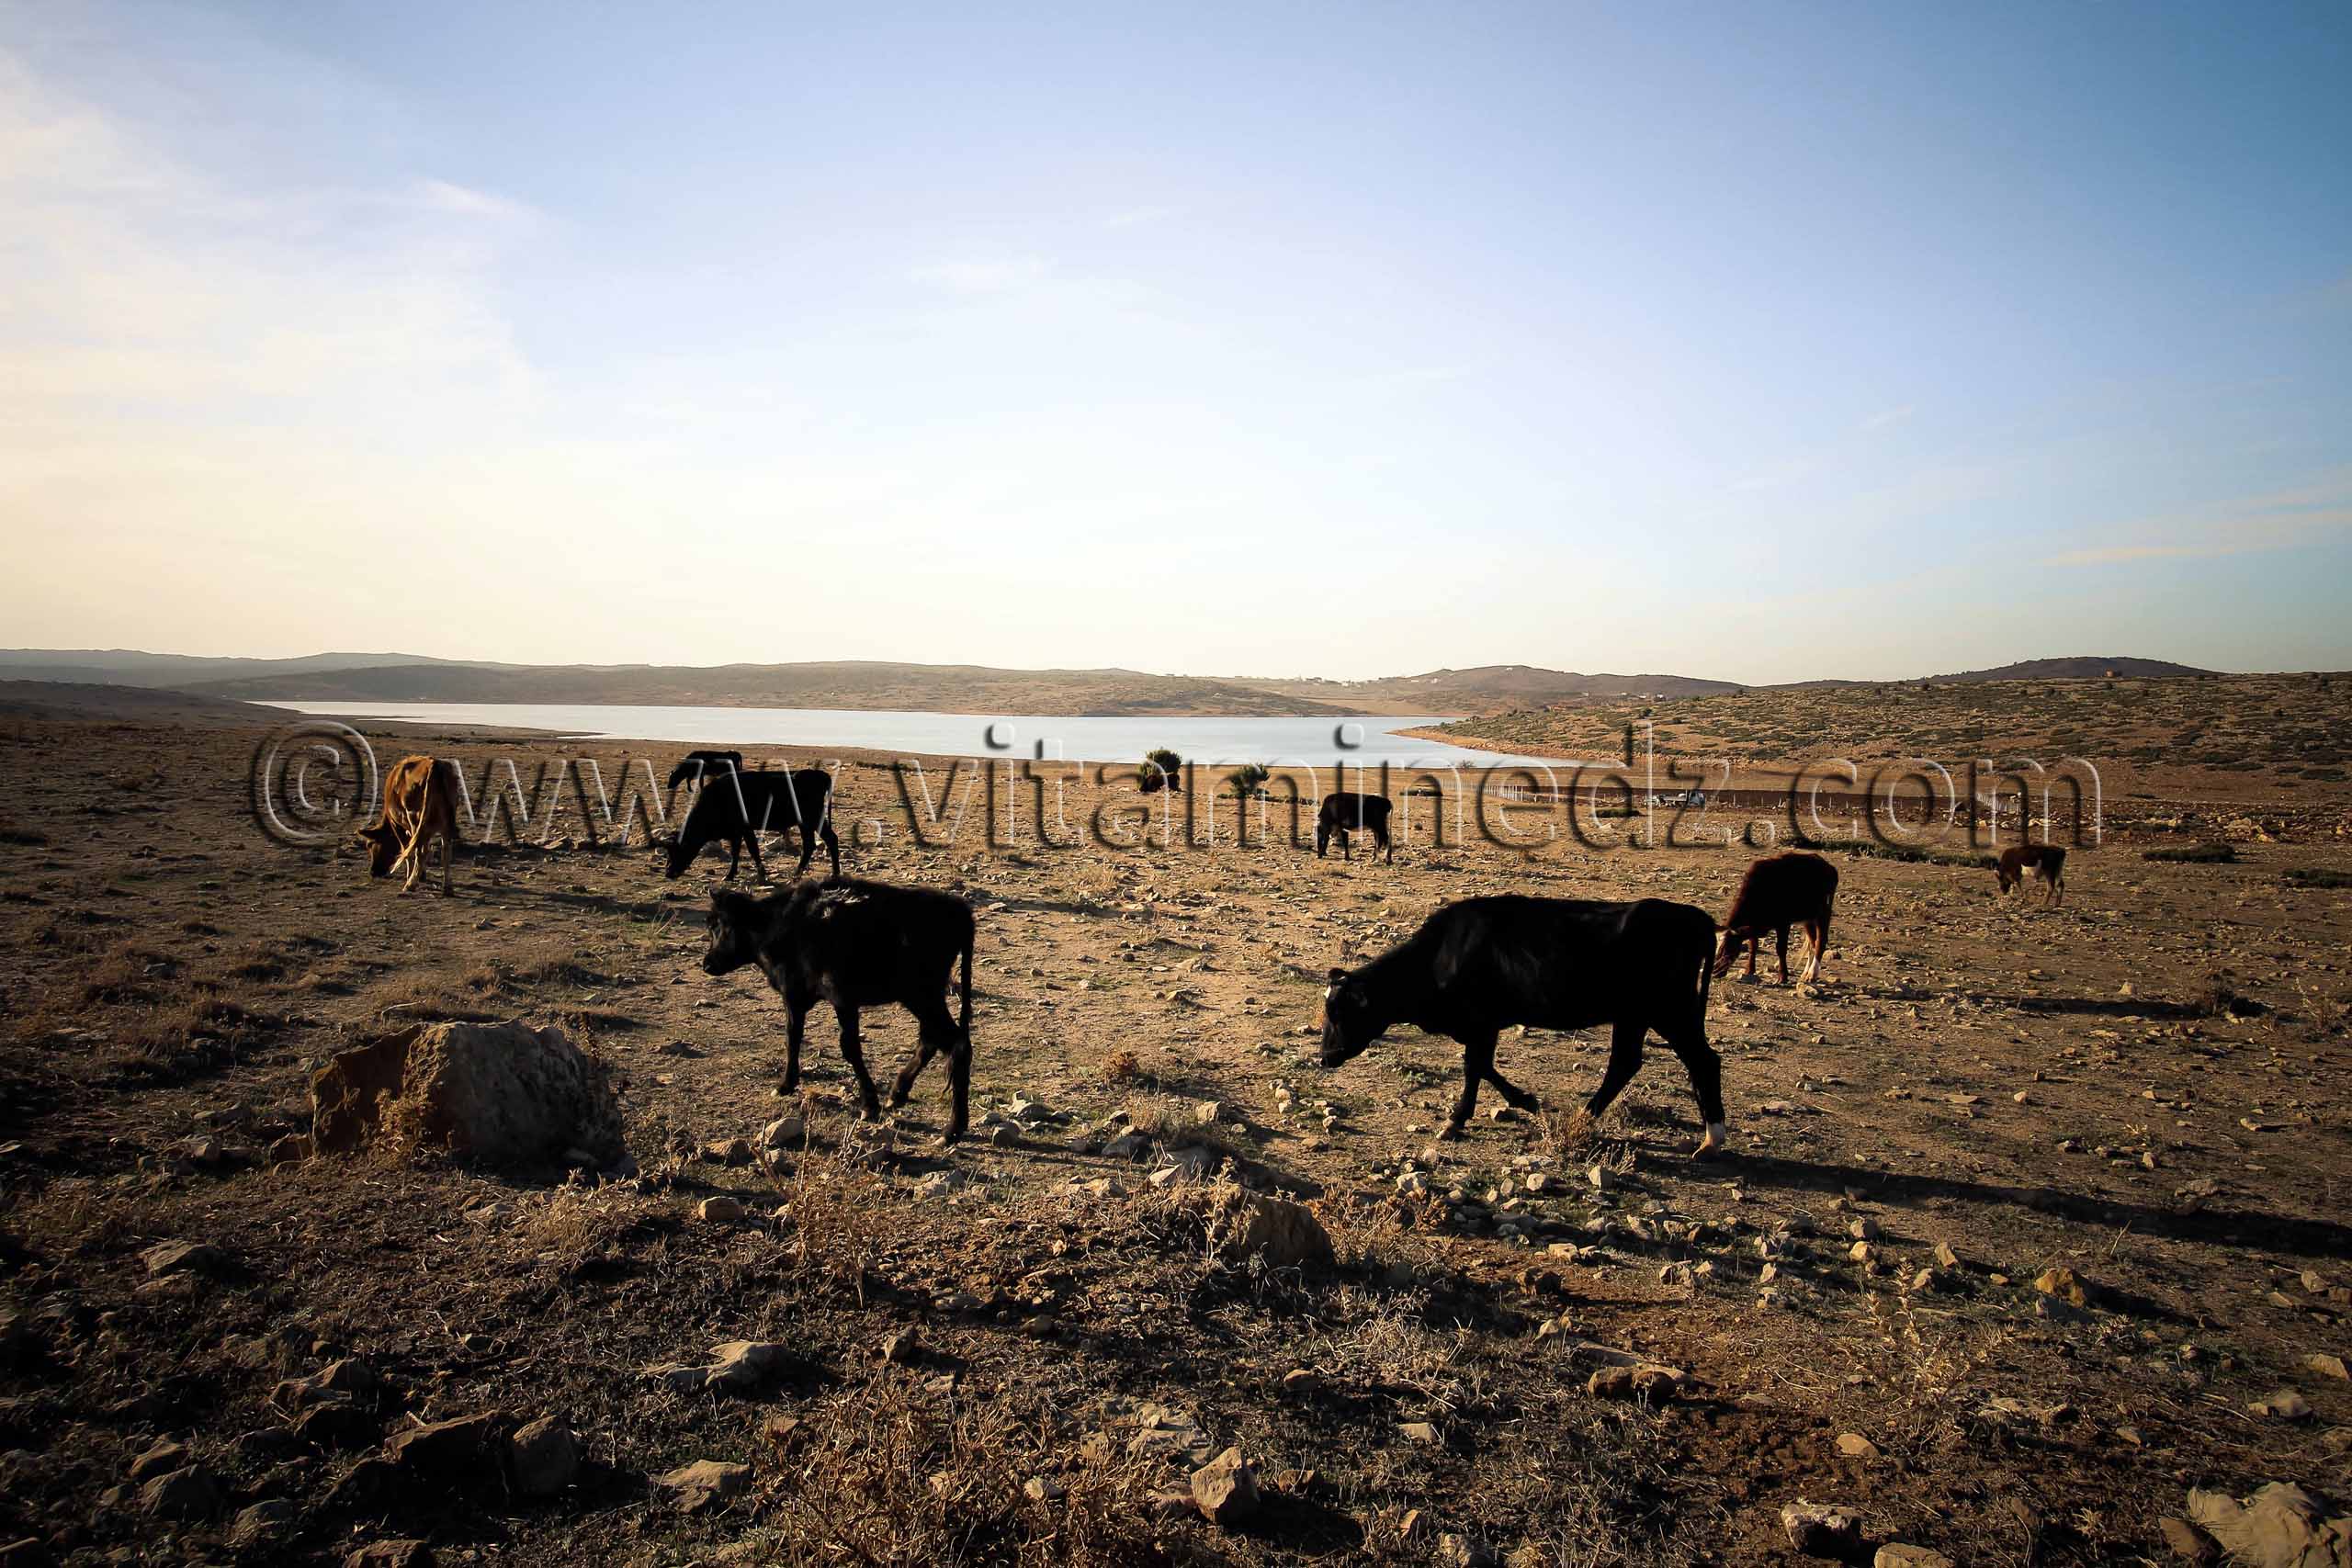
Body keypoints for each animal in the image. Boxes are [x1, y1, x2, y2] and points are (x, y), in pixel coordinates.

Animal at [354, 755, 461, 894]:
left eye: (370, 845)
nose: (373, 872)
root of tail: (434, 765)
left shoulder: (398, 825)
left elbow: (406, 848)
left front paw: (412, 875)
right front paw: (422, 874)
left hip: (415, 819)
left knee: (421, 851)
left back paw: (410, 884)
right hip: (446, 824)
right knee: (446, 852)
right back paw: (447, 887)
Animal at [662, 767, 841, 883]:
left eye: (678, 850)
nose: (668, 873)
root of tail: (820, 774)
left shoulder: (744, 829)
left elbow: (752, 849)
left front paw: (759, 874)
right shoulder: (736, 832)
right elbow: (737, 851)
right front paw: (732, 874)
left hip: (812, 819)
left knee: (827, 840)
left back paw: (828, 874)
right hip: (807, 823)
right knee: (814, 844)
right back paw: (804, 874)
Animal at [701, 880, 975, 1142]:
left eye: (717, 925)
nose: (707, 964)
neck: (778, 924)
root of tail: (958, 910)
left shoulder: (835, 999)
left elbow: (847, 1047)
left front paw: (869, 1103)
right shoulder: (801, 998)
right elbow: (794, 1037)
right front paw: (787, 1084)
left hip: (922, 996)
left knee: (956, 1044)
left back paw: (952, 1130)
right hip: (924, 998)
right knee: (932, 1040)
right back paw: (898, 1094)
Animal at [1320, 895, 1726, 1155]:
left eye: (1338, 1012)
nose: (1324, 1057)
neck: (1441, 955)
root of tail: (1696, 919)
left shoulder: (1482, 1023)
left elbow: (1476, 1066)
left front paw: (1459, 1119)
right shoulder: (1485, 1026)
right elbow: (1482, 1066)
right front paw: (1523, 1102)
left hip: (1668, 1011)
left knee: (1702, 1060)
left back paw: (1712, 1139)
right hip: (1635, 1017)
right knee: (1625, 1064)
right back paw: (1585, 1117)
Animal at [1714, 851, 1839, 985]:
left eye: (1728, 949)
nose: (1715, 972)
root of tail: (1828, 867)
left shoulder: (1783, 924)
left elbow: (1781, 949)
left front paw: (1783, 977)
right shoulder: (1753, 925)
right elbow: (1753, 946)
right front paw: (1749, 970)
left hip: (1823, 913)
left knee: (1820, 942)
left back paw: (1812, 974)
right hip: (1808, 919)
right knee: (1812, 943)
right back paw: (1805, 973)